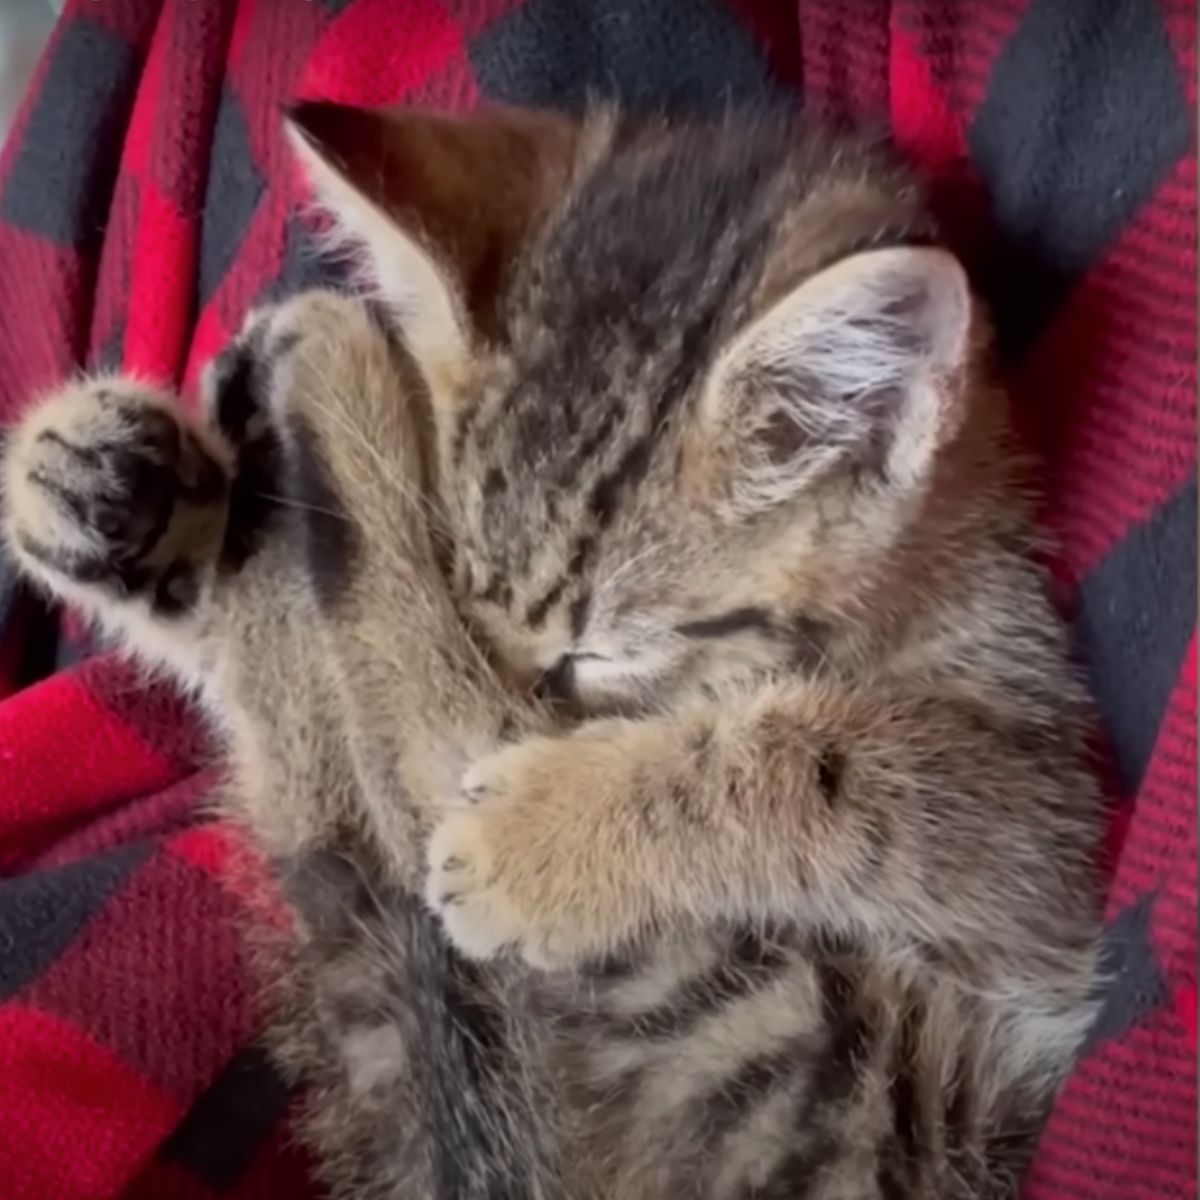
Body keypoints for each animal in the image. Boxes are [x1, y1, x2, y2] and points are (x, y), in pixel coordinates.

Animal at [2, 105, 1104, 1200]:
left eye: (595, 659)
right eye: (473, 593)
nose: (536, 703)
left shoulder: (1036, 834)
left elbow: (830, 764)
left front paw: (539, 833)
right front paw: (103, 478)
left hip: (816, 1068)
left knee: (419, 758)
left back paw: (331, 368)